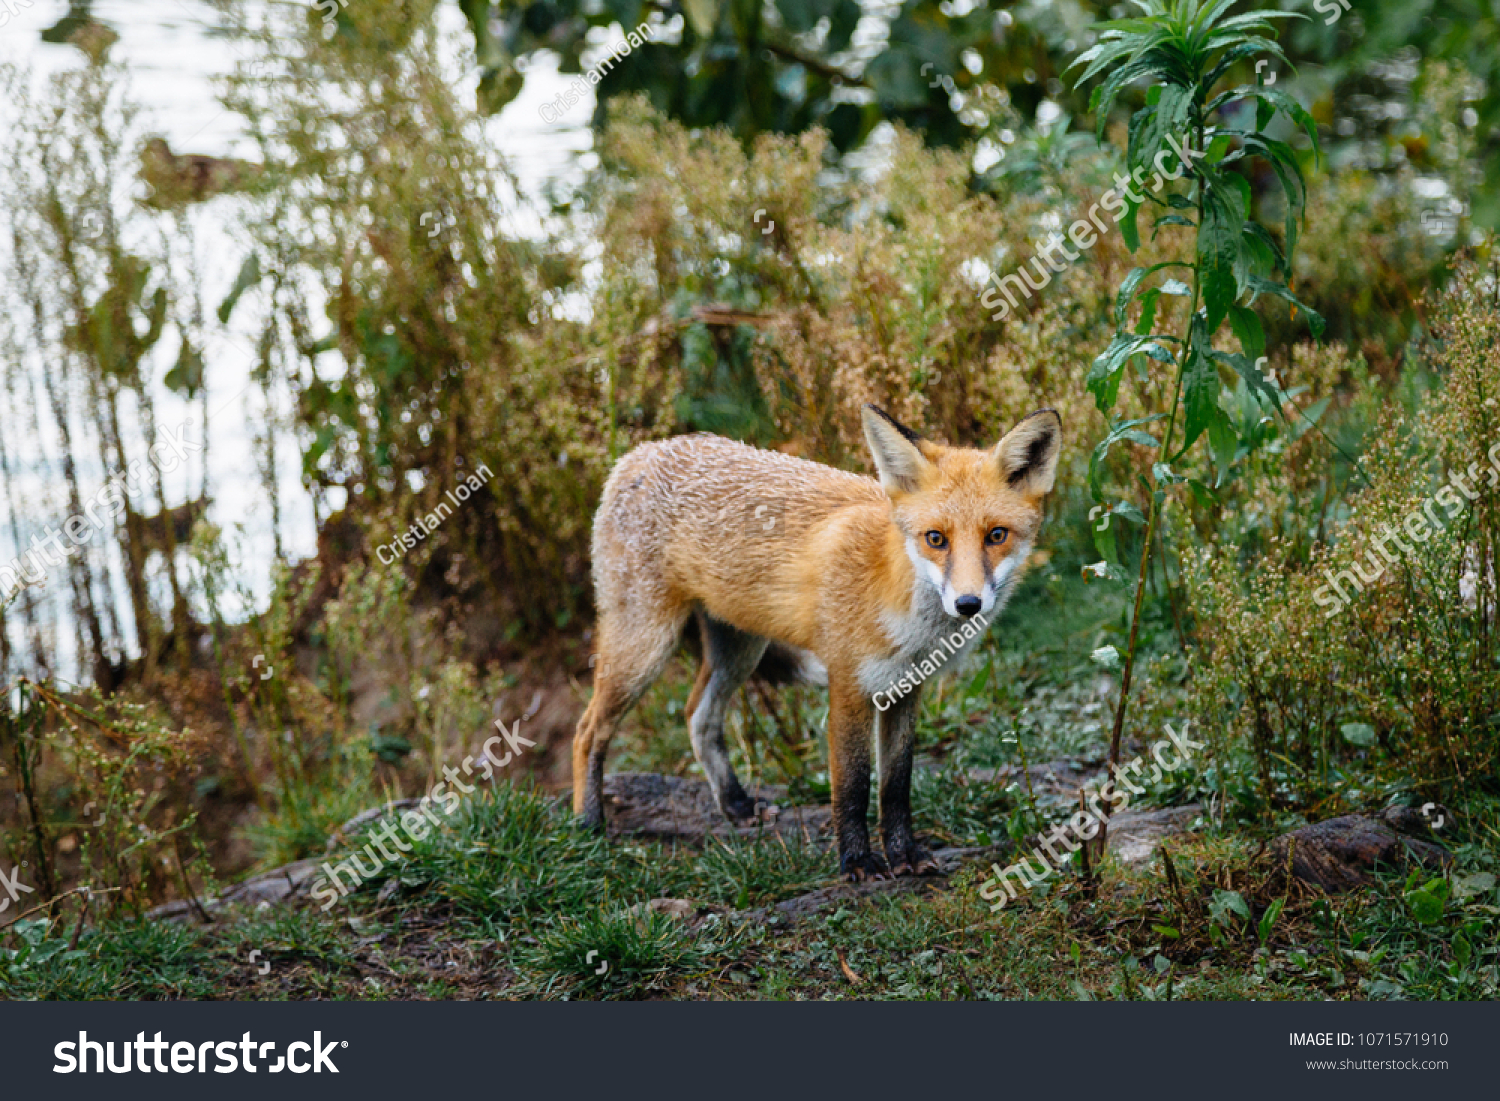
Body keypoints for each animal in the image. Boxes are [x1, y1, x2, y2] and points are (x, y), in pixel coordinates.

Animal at [573, 404, 1062, 880]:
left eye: (996, 535)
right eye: (935, 539)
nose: (968, 603)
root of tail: (640, 452)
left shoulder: (905, 687)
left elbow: (896, 786)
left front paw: (904, 854)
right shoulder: (847, 683)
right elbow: (852, 784)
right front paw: (858, 862)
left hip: (739, 650)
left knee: (700, 717)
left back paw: (736, 804)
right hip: (646, 645)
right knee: (588, 730)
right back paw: (588, 826)